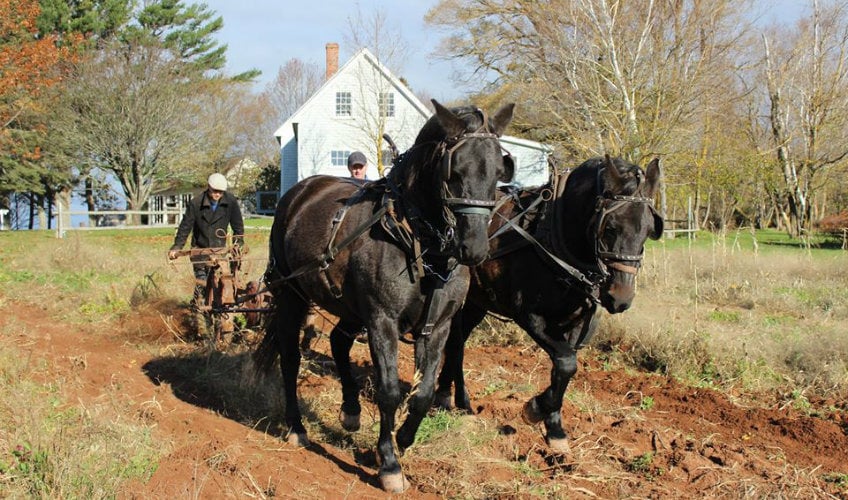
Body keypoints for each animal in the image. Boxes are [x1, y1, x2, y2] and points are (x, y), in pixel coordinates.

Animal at [253, 100, 516, 492]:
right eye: (454, 171)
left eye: (500, 169)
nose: (474, 248)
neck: (420, 245)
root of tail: (300, 192)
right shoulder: (382, 321)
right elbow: (389, 390)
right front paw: (388, 462)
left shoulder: (438, 325)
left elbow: (423, 393)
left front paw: (403, 439)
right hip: (291, 295)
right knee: (290, 358)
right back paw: (297, 427)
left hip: (348, 307)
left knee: (338, 341)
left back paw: (350, 411)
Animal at [438, 154, 664, 452]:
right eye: (611, 227)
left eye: (649, 230)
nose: (621, 298)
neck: (554, 236)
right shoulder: (531, 316)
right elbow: (567, 363)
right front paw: (534, 409)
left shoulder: (576, 324)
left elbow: (563, 370)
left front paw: (554, 428)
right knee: (452, 341)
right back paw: (444, 399)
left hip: (478, 302)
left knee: (458, 342)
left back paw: (459, 402)